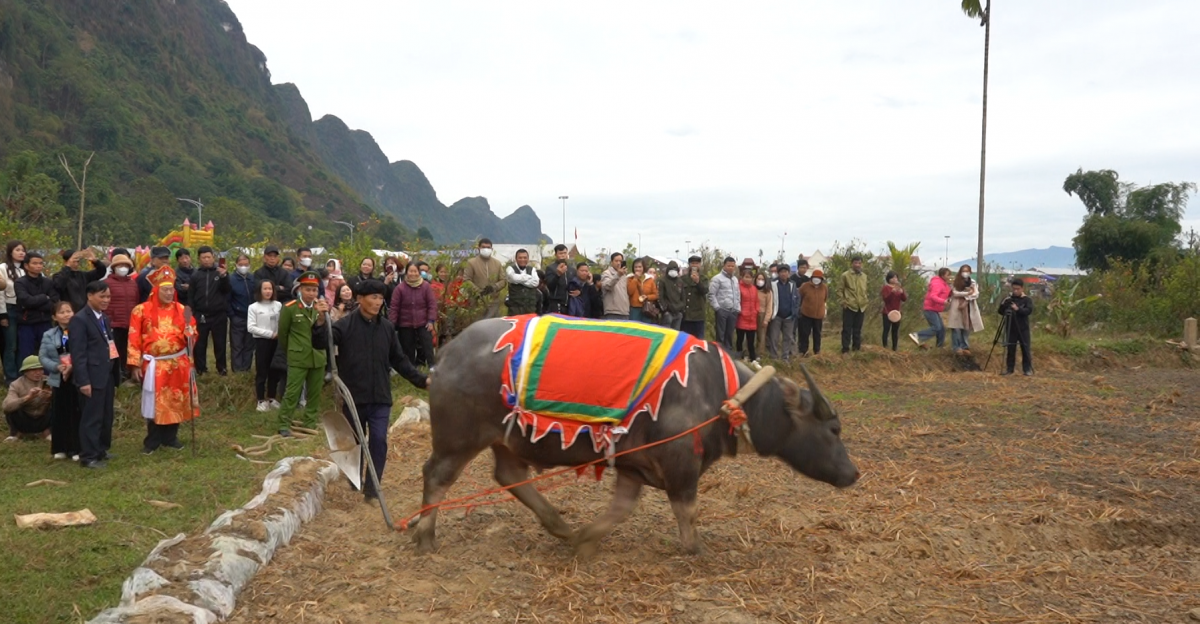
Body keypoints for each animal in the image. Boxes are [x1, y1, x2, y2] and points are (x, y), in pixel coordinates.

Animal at [410, 316, 854, 556]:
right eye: (833, 429)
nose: (853, 474)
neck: (718, 391)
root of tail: (445, 354)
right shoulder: (680, 464)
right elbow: (687, 510)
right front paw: (696, 548)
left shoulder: (632, 465)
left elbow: (622, 508)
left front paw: (585, 540)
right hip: (458, 438)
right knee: (436, 475)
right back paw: (425, 535)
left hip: (506, 439)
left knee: (509, 475)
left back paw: (560, 526)